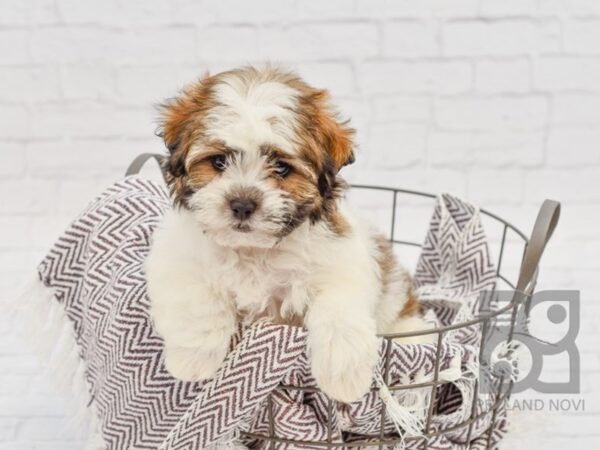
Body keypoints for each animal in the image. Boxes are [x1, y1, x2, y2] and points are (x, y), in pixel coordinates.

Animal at [145, 65, 426, 402]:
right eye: (218, 161)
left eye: (281, 168)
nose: (242, 204)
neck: (255, 250)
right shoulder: (177, 258)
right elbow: (197, 299)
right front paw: (193, 359)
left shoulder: (342, 263)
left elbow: (339, 308)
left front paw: (344, 373)